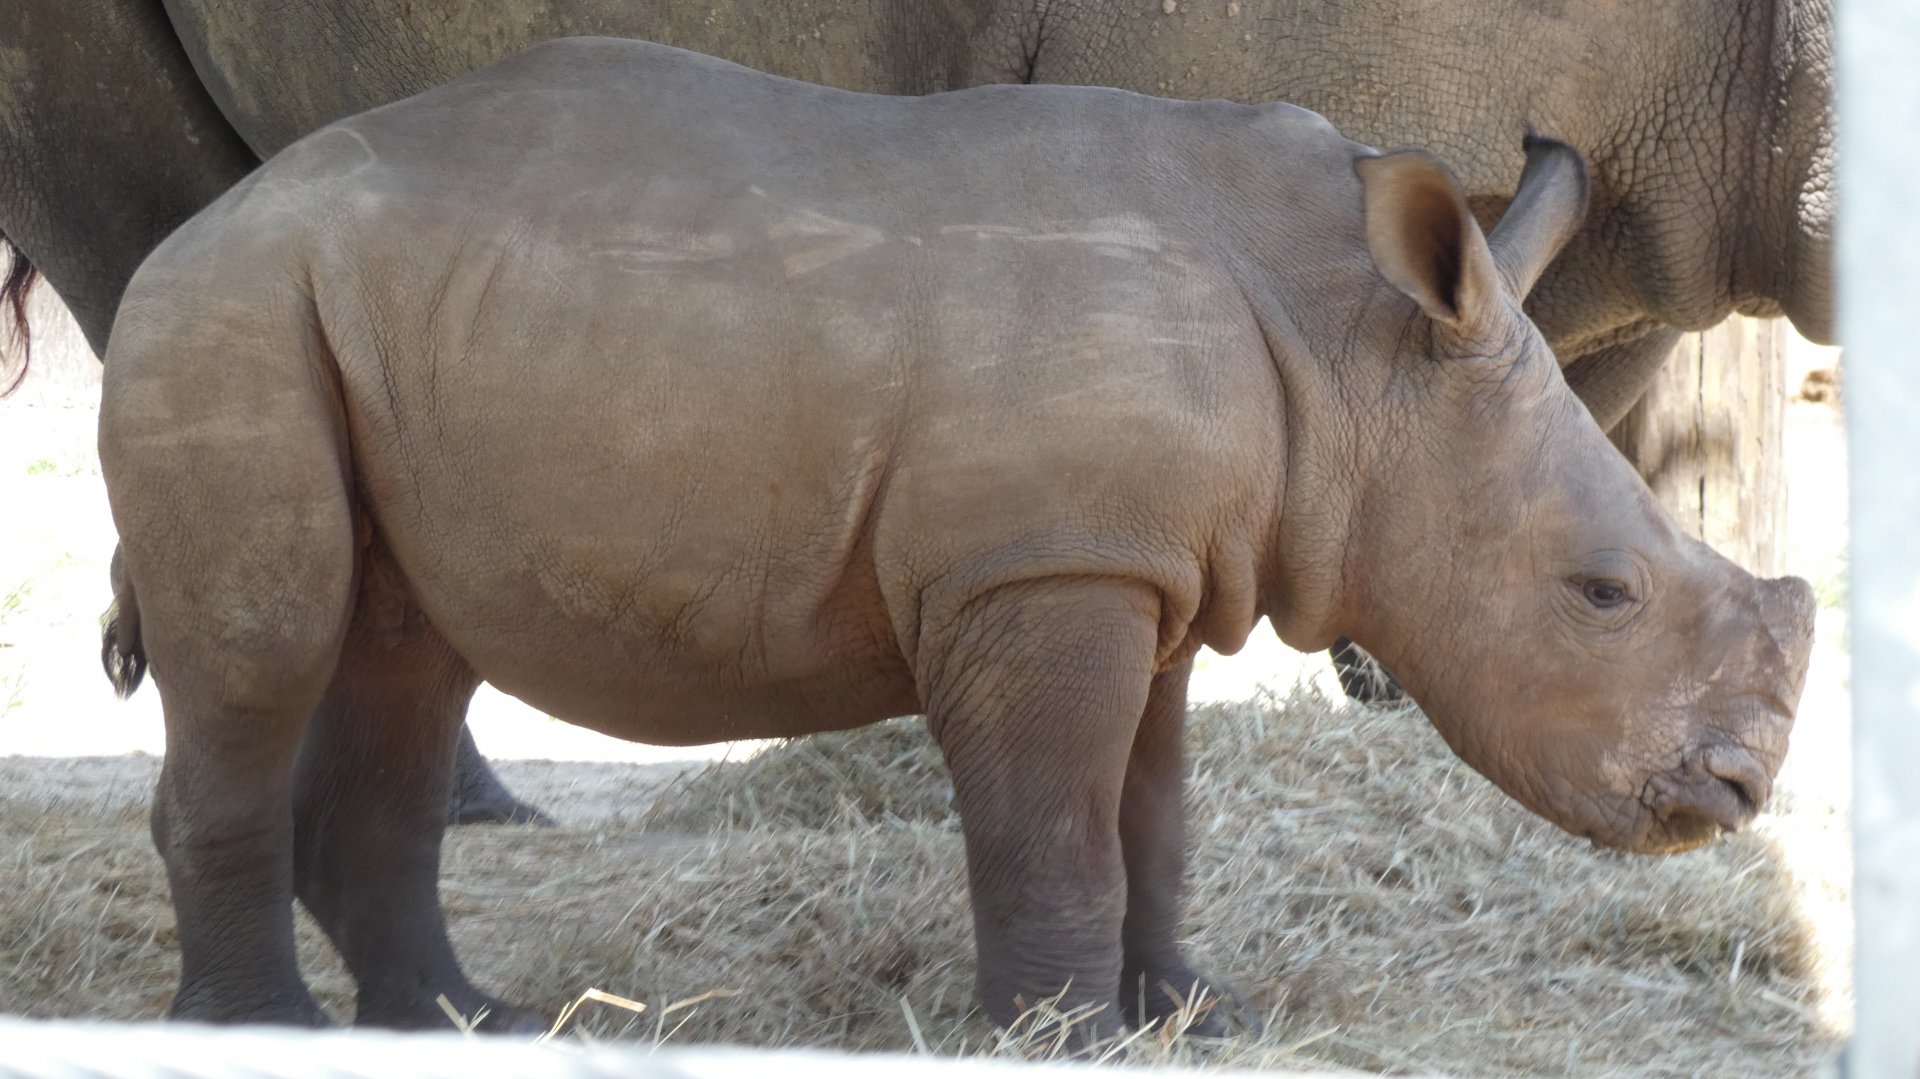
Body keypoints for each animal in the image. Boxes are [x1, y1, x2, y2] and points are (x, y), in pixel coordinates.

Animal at [97, 39, 1816, 1039]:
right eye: (1602, 591)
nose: (1735, 796)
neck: (1355, 349)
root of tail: (203, 231)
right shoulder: (1043, 567)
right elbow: (1055, 820)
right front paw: (1056, 1035)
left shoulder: (1134, 559)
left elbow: (1154, 814)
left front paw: (1202, 1015)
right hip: (226, 316)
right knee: (263, 643)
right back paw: (267, 1030)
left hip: (367, 325)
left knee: (403, 647)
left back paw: (471, 1020)